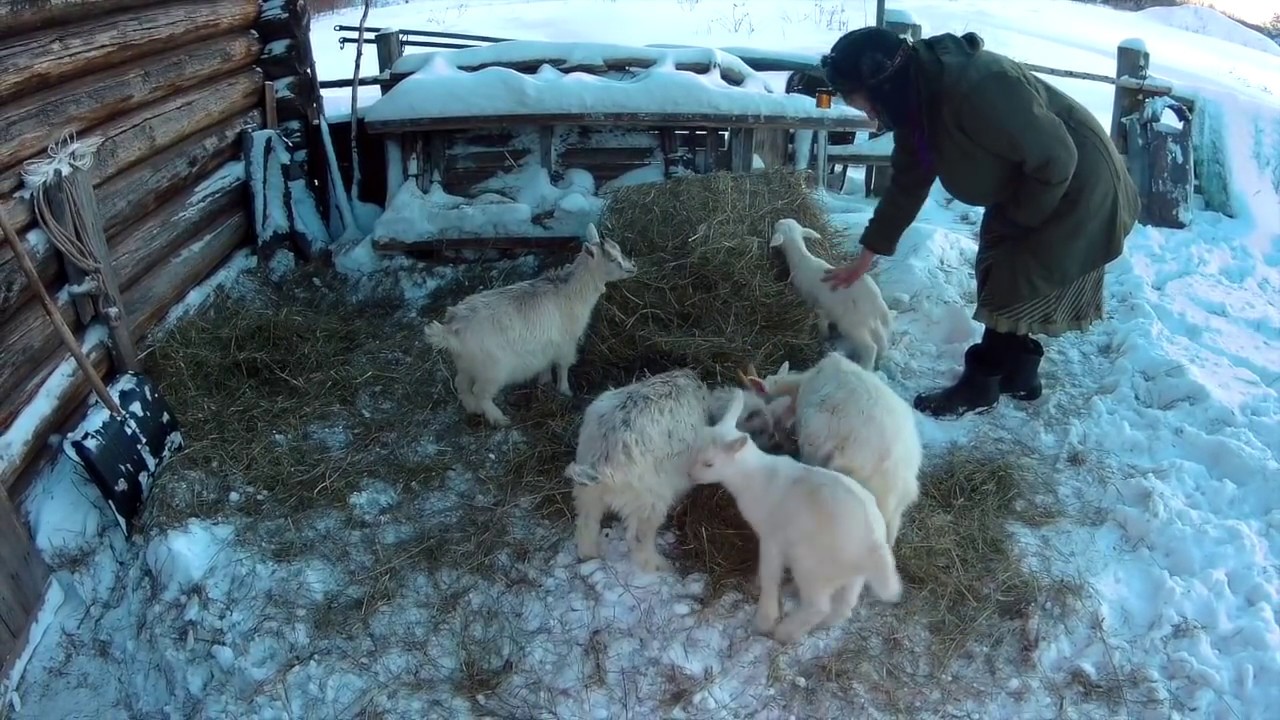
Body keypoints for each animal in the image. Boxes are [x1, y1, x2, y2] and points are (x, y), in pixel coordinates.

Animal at [422, 222, 637, 425]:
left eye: (618, 250)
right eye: (612, 259)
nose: (633, 267)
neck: (572, 291)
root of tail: (451, 329)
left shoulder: (546, 344)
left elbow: (546, 364)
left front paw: (545, 381)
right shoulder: (567, 342)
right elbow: (563, 365)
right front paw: (565, 390)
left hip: (467, 364)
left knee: (461, 384)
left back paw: (473, 409)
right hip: (493, 369)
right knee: (480, 392)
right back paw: (499, 419)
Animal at [570, 366, 788, 568]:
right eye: (762, 429)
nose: (775, 442)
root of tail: (603, 459)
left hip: (588, 493)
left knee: (587, 522)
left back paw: (589, 555)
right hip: (651, 500)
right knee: (639, 536)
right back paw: (658, 565)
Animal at [691, 384, 901, 640]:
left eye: (709, 464)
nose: (690, 475)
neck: (754, 475)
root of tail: (875, 547)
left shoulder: (772, 538)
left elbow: (770, 575)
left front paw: (765, 617)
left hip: (811, 566)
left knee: (818, 606)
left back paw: (784, 632)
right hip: (852, 575)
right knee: (844, 607)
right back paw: (818, 626)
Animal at [768, 215, 890, 366]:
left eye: (776, 227)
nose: (776, 221)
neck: (801, 258)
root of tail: (876, 301)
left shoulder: (810, 299)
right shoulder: (823, 309)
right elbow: (823, 321)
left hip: (852, 323)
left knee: (870, 347)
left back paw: (865, 366)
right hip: (870, 321)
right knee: (882, 341)